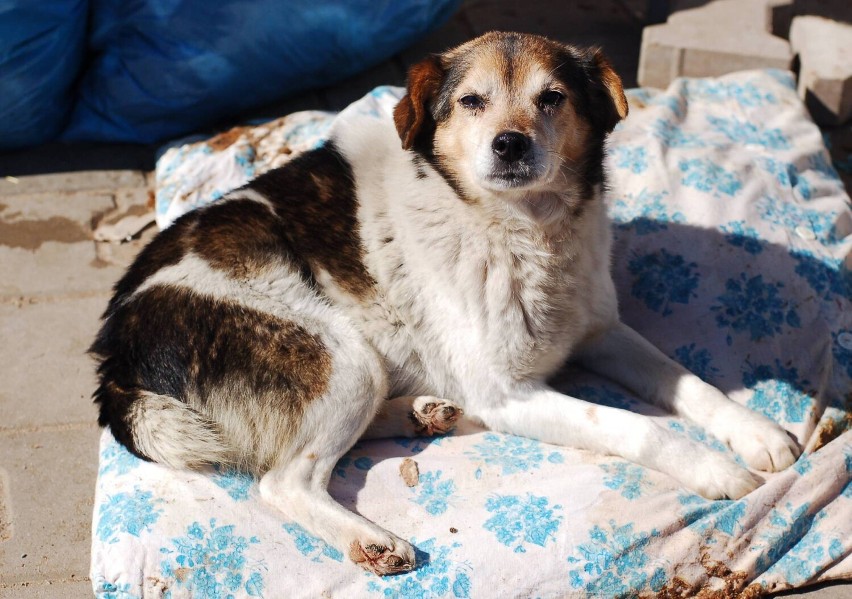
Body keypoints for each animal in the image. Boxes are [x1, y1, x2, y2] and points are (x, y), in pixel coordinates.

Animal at [90, 32, 804, 576]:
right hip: (341, 354)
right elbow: (637, 424)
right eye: (471, 102)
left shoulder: (601, 330)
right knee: (284, 478)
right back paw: (372, 540)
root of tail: (116, 350)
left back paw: (425, 413)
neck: (522, 231)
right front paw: (714, 468)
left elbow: (690, 383)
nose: (510, 143)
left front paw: (757, 433)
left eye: (552, 98)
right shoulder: (509, 395)